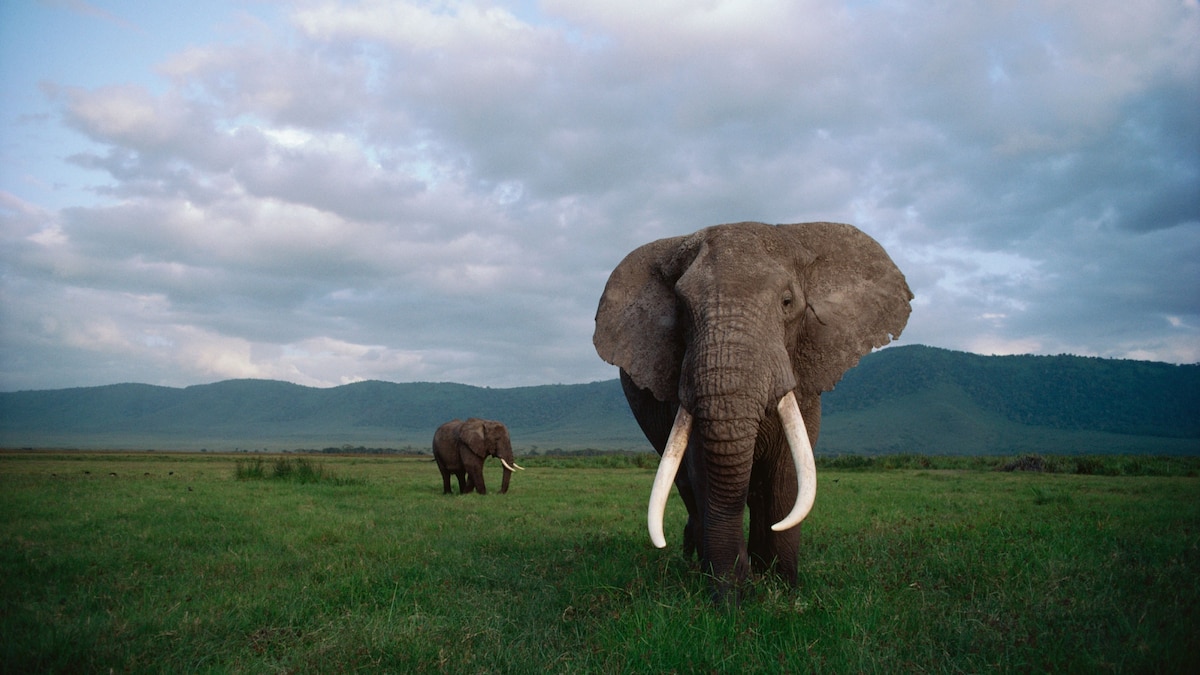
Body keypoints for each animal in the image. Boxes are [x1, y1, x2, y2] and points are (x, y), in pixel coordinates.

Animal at [593, 221, 911, 602]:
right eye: (681, 309)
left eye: (787, 302)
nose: (740, 580)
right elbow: (705, 470)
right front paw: (728, 597)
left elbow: (787, 474)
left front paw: (783, 591)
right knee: (687, 487)